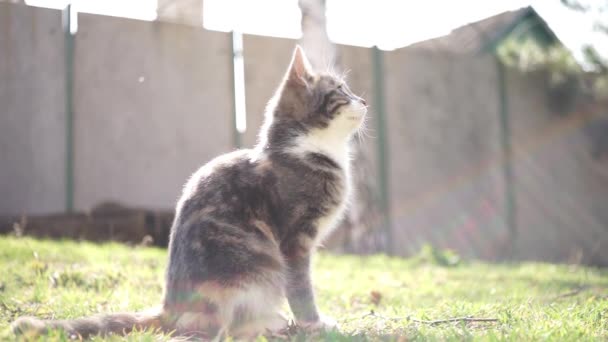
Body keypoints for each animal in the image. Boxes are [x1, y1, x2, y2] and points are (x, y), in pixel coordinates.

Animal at [11, 44, 366, 340]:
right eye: (341, 90)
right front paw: (314, 324)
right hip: (250, 270)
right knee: (217, 329)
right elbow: (300, 286)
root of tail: (171, 307)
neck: (305, 149)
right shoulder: (295, 239)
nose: (364, 100)